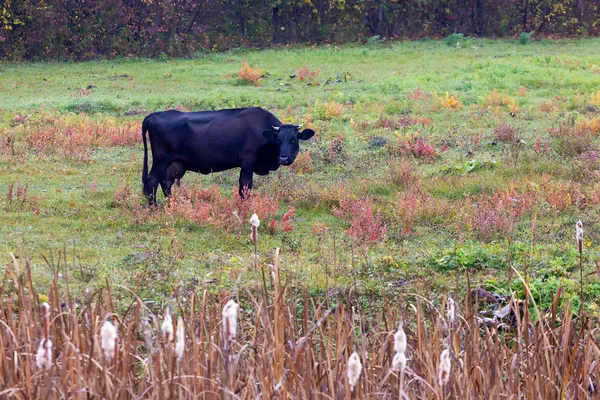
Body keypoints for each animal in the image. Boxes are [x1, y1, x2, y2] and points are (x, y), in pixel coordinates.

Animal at [143, 107, 316, 203]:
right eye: (278, 140)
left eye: (293, 140)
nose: (284, 158)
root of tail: (155, 115)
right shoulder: (248, 161)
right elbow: (245, 186)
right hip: (161, 160)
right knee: (152, 181)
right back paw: (154, 208)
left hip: (173, 164)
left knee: (166, 182)